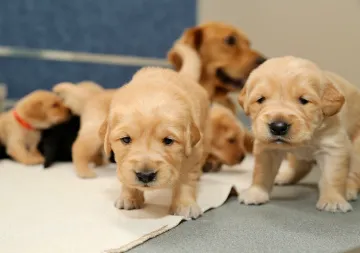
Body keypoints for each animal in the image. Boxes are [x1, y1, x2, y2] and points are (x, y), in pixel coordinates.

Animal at [100, 67, 210, 219]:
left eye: (168, 141)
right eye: (126, 139)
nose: (145, 175)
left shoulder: (193, 152)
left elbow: (185, 178)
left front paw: (184, 205)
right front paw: (129, 197)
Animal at [236, 56, 358, 212]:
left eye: (304, 100)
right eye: (260, 99)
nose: (278, 127)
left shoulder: (333, 148)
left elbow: (332, 176)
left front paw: (333, 200)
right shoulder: (267, 149)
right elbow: (261, 171)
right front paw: (256, 192)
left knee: (354, 173)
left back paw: (349, 190)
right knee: (300, 166)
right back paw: (285, 176)